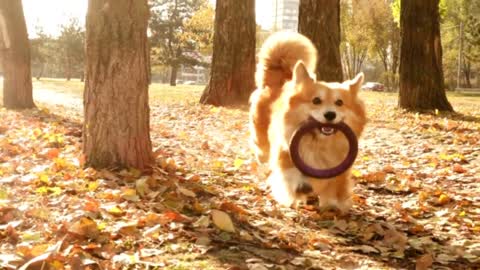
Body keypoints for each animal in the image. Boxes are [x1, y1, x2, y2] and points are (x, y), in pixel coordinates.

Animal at [249, 32, 366, 212]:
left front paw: (334, 204)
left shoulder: (339, 169)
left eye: (339, 103)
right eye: (316, 100)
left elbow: (337, 188)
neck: (319, 143)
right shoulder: (285, 155)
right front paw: (301, 189)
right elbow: (291, 176)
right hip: (262, 143)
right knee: (262, 154)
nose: (330, 115)